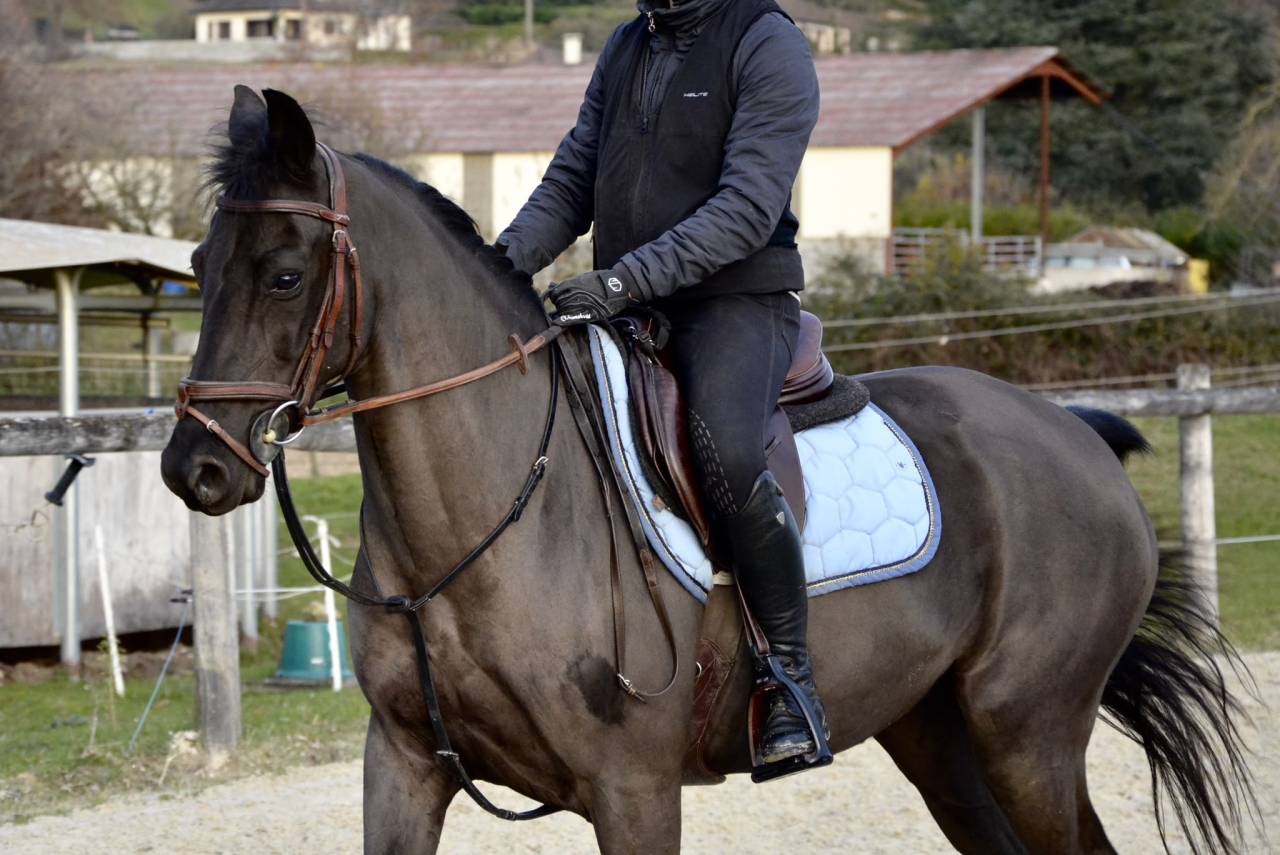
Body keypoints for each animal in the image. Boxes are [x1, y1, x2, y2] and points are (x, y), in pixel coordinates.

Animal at [161, 87, 1256, 854]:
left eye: (286, 276)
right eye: (199, 266)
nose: (195, 469)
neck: (487, 530)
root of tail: (1075, 435)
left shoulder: (633, 791)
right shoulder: (400, 766)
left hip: (1027, 735)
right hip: (938, 736)